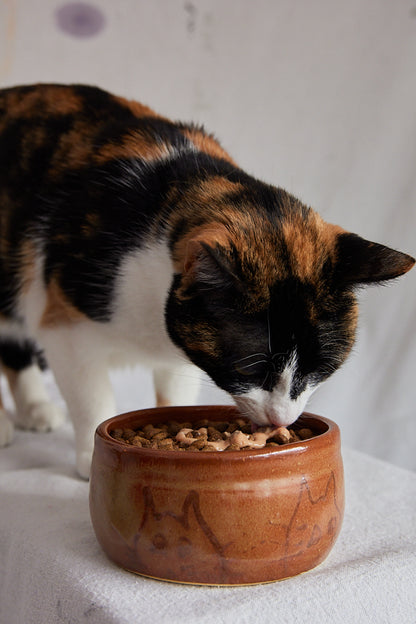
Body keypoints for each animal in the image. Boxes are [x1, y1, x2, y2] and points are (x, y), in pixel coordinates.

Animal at [0, 84, 412, 478]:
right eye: (249, 369)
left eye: (320, 370)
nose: (280, 417)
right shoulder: (67, 328)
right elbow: (92, 396)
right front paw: (91, 459)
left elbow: (175, 392)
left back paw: (36, 408)